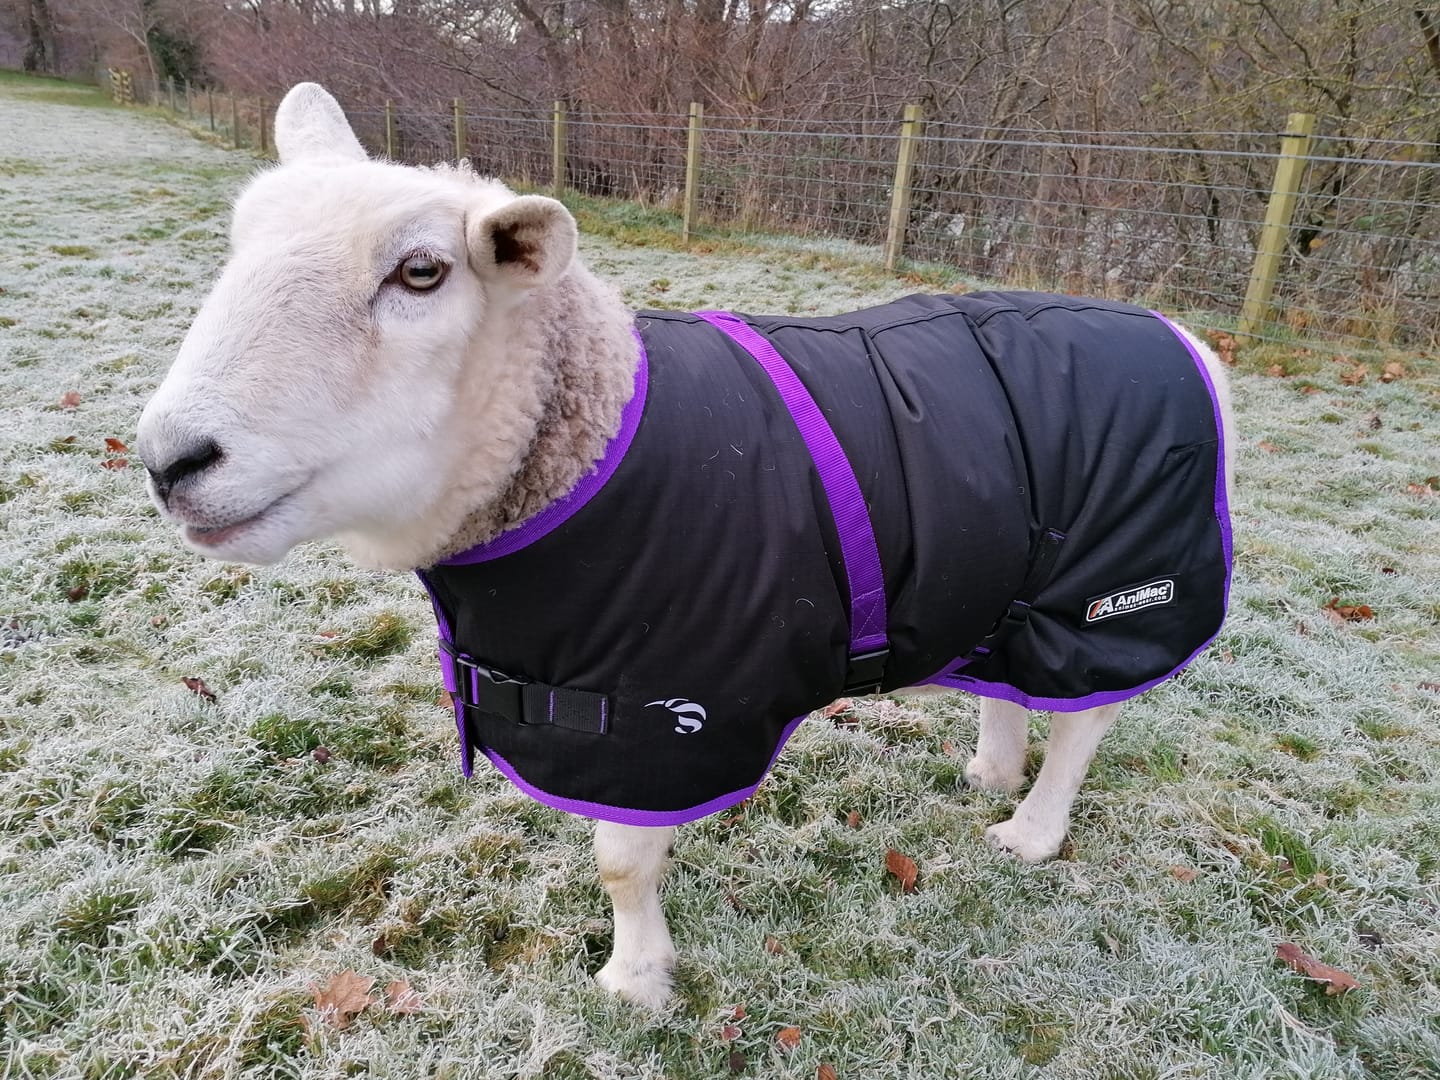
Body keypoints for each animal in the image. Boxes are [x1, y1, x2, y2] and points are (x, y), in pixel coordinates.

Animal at [136, 83, 1235, 1010]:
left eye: (421, 272)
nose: (168, 460)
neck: (584, 456)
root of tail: (1182, 334)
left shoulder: (654, 721)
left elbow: (621, 863)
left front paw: (634, 981)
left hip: (1116, 588)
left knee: (1087, 719)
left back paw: (1033, 831)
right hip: (1007, 583)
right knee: (1010, 685)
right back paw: (990, 775)